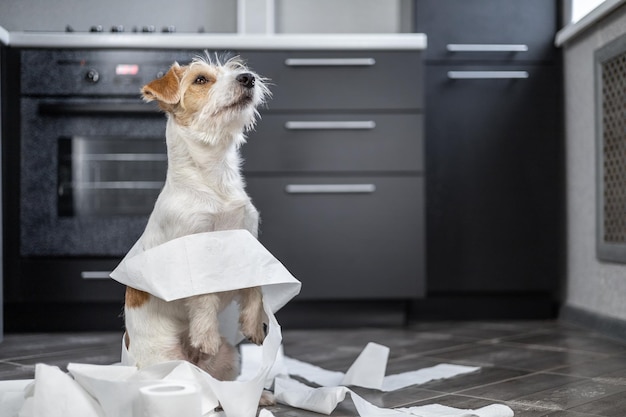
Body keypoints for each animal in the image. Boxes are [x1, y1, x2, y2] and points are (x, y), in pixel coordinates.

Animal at [123, 54, 270, 394]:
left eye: (236, 69)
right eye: (201, 80)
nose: (248, 78)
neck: (214, 178)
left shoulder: (248, 236)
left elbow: (254, 288)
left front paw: (254, 325)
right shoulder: (192, 249)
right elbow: (204, 298)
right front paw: (205, 335)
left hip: (229, 358)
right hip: (165, 360)